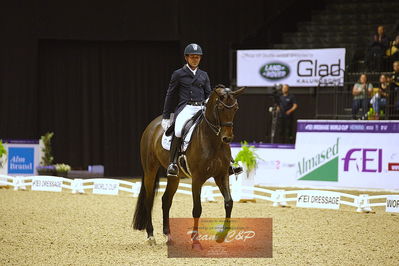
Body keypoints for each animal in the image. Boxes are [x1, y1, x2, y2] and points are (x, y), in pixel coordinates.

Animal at [133, 85, 245, 245]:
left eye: (235, 108)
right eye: (220, 108)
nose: (227, 138)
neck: (213, 141)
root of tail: (152, 125)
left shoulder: (221, 175)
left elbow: (229, 202)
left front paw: (221, 236)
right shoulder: (197, 178)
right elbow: (197, 209)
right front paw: (196, 240)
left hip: (174, 176)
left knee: (166, 200)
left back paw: (168, 236)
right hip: (150, 170)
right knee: (149, 200)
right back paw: (151, 236)